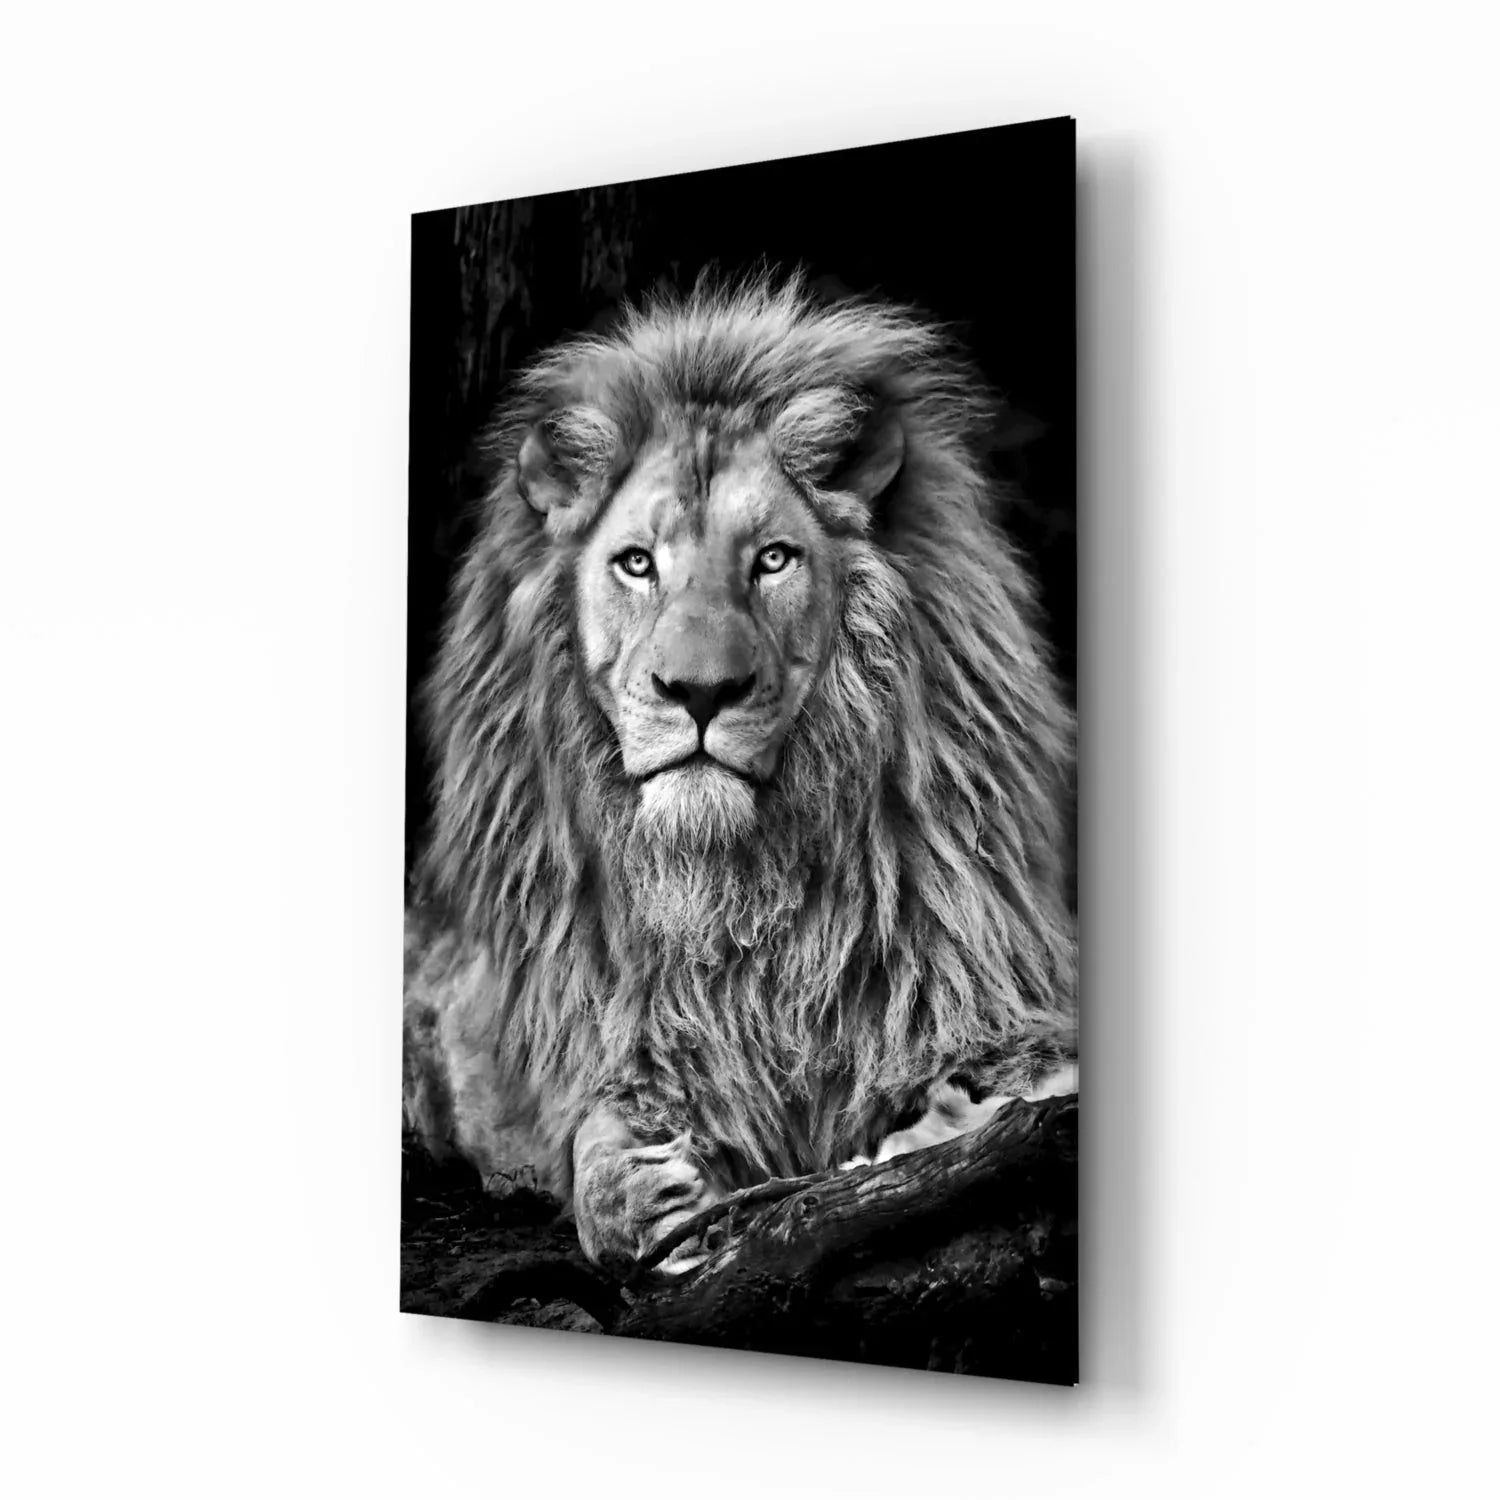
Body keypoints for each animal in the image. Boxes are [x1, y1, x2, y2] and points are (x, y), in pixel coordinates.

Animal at [403, 271, 1078, 1277]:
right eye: (636, 564)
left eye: (773, 560)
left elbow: (1016, 1093)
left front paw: (920, 1134)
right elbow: (597, 1151)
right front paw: (649, 1193)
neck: (735, 894)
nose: (700, 692)